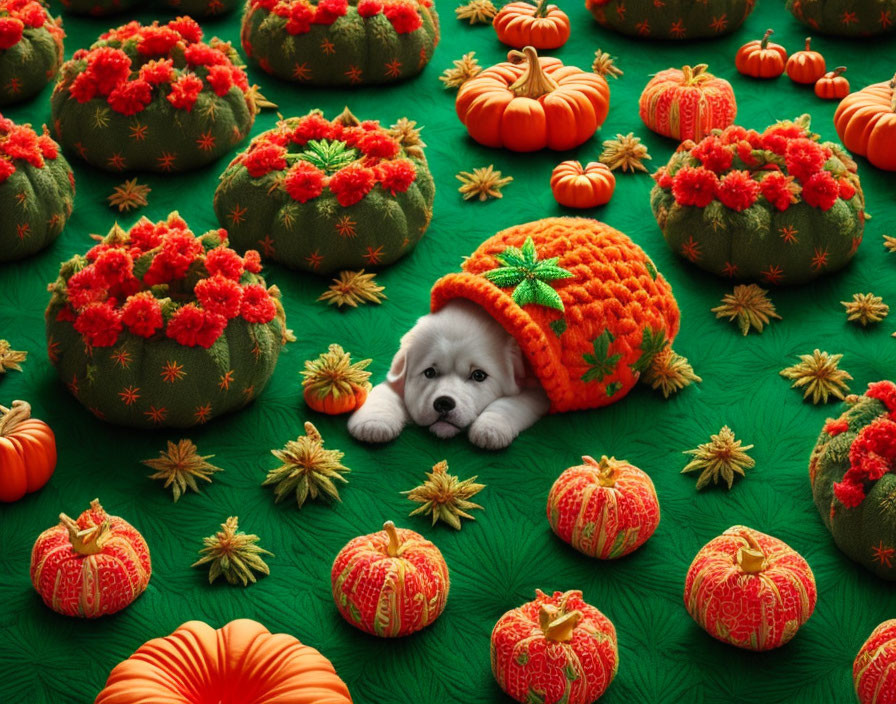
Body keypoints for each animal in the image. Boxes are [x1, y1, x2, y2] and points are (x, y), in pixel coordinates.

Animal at [348, 300, 544, 448]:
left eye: (478, 376)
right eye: (429, 372)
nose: (444, 403)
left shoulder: (536, 389)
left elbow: (509, 403)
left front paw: (490, 427)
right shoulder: (396, 380)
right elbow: (384, 393)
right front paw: (373, 423)